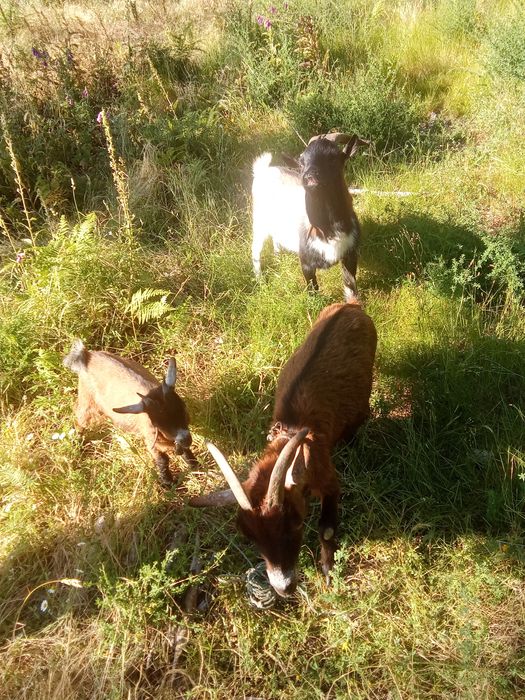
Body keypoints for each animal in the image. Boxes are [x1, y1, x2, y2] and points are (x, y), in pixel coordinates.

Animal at [63, 340, 196, 487]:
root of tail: (86, 356)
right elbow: (162, 460)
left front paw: (194, 465)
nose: (186, 439)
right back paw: (77, 444)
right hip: (87, 403)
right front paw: (168, 483)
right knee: (79, 422)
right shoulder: (151, 439)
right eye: (159, 423)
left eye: (183, 409)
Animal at [191, 300, 377, 597]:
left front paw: (328, 572)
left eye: (295, 522)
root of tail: (350, 305)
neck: (294, 436)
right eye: (249, 536)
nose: (283, 587)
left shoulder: (329, 480)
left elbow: (326, 528)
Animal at [251, 133, 368, 301]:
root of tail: (264, 170)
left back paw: (278, 258)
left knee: (276, 239)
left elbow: (350, 286)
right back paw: (260, 280)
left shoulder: (350, 254)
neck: (329, 229)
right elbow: (313, 289)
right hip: (259, 221)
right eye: (301, 162)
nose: (309, 177)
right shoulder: (306, 263)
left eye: (334, 157)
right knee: (256, 250)